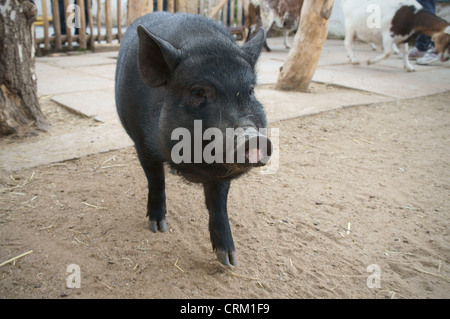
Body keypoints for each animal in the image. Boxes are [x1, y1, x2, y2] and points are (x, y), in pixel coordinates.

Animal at [116, 11, 270, 268]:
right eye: (197, 92)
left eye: (250, 91)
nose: (253, 138)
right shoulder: (142, 144)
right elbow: (155, 180)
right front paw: (157, 227)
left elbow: (218, 201)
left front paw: (229, 260)